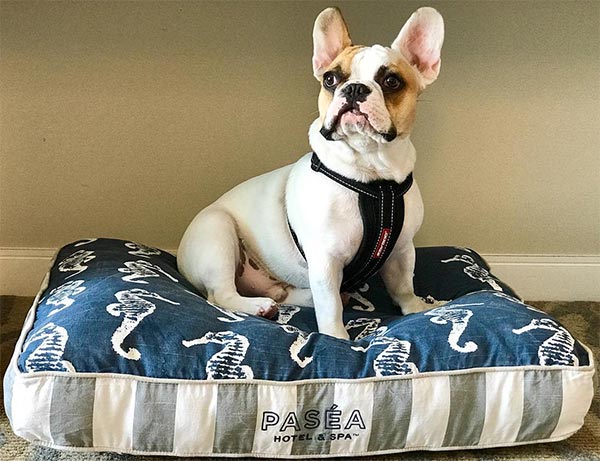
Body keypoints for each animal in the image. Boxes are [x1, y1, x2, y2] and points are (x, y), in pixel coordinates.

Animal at [176, 6, 442, 338]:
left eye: (392, 81)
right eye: (330, 78)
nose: (354, 88)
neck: (373, 176)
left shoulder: (402, 250)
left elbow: (404, 285)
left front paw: (417, 308)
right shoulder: (326, 259)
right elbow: (330, 305)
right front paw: (336, 337)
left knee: (285, 292)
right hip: (217, 233)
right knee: (221, 294)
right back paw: (258, 306)